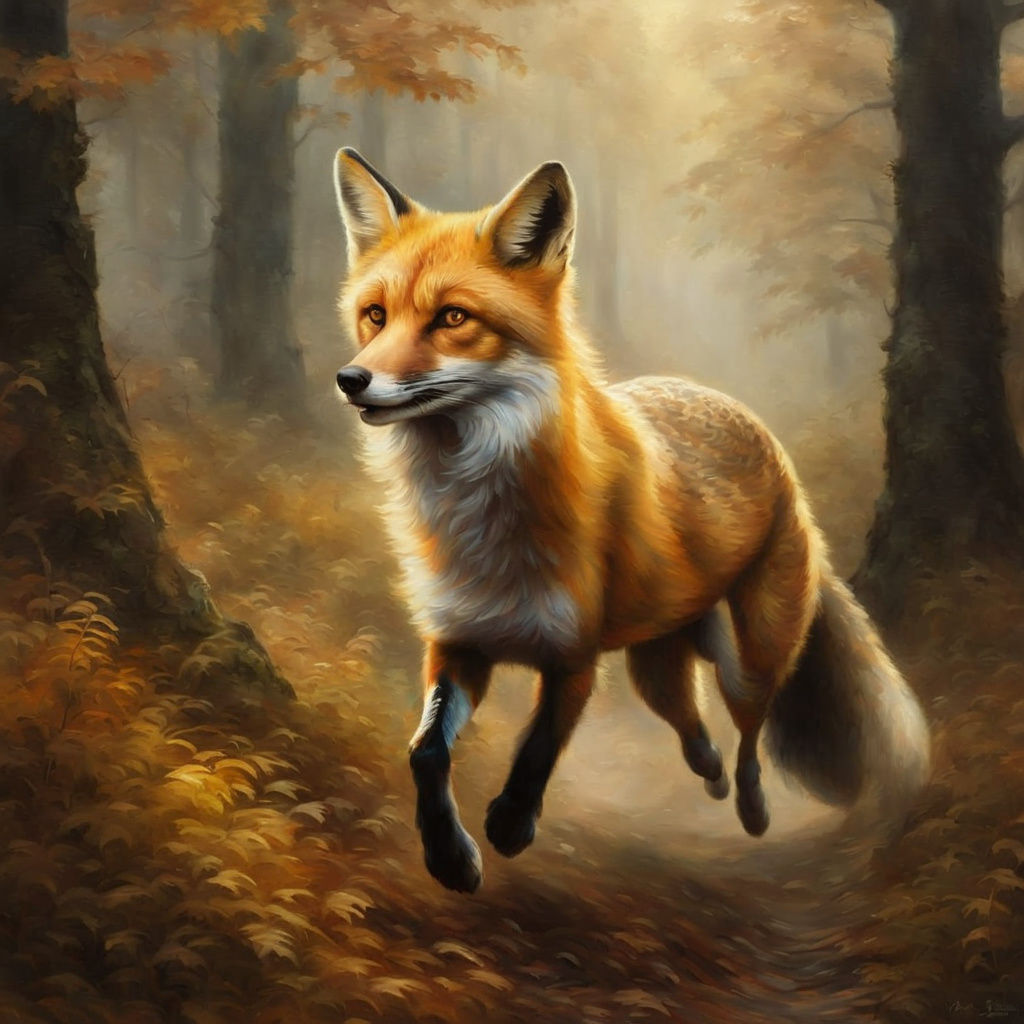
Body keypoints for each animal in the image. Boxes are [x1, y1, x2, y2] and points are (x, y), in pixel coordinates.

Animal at [331, 147, 931, 894]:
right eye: (375, 315)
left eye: (452, 317)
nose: (350, 380)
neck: (481, 515)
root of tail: (736, 411)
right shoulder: (458, 641)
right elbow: (425, 752)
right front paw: (449, 857)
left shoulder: (574, 656)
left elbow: (540, 747)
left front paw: (511, 825)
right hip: (656, 669)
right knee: (693, 726)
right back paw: (707, 771)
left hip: (748, 658)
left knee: (751, 733)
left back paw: (752, 808)